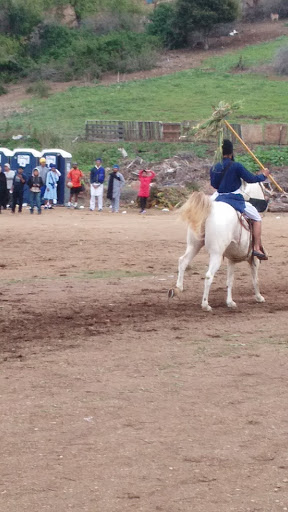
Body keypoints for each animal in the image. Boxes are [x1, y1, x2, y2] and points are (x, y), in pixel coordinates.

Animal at [169, 184, 268, 312]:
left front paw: (230, 302)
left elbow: (230, 281)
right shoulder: (254, 259)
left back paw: (178, 288)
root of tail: (209, 210)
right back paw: (205, 304)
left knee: (183, 261)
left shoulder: (232, 260)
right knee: (208, 276)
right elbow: (255, 279)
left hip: (194, 246)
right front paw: (259, 297)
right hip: (216, 254)